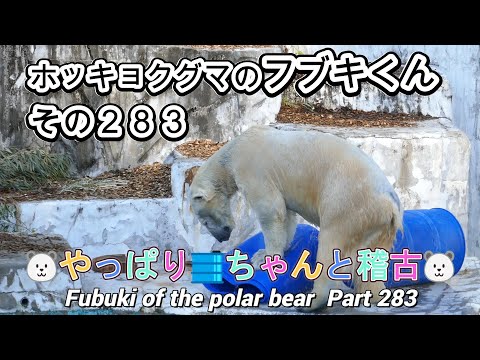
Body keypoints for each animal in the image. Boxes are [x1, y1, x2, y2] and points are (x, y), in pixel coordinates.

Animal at [189, 125, 404, 308]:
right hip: (378, 225)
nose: (222, 237)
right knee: (372, 258)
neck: (232, 154)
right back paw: (373, 294)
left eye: (204, 221)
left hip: (346, 203)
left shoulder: (252, 170)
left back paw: (312, 301)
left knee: (330, 243)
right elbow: (287, 215)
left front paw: (263, 259)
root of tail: (389, 202)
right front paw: (271, 252)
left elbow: (271, 210)